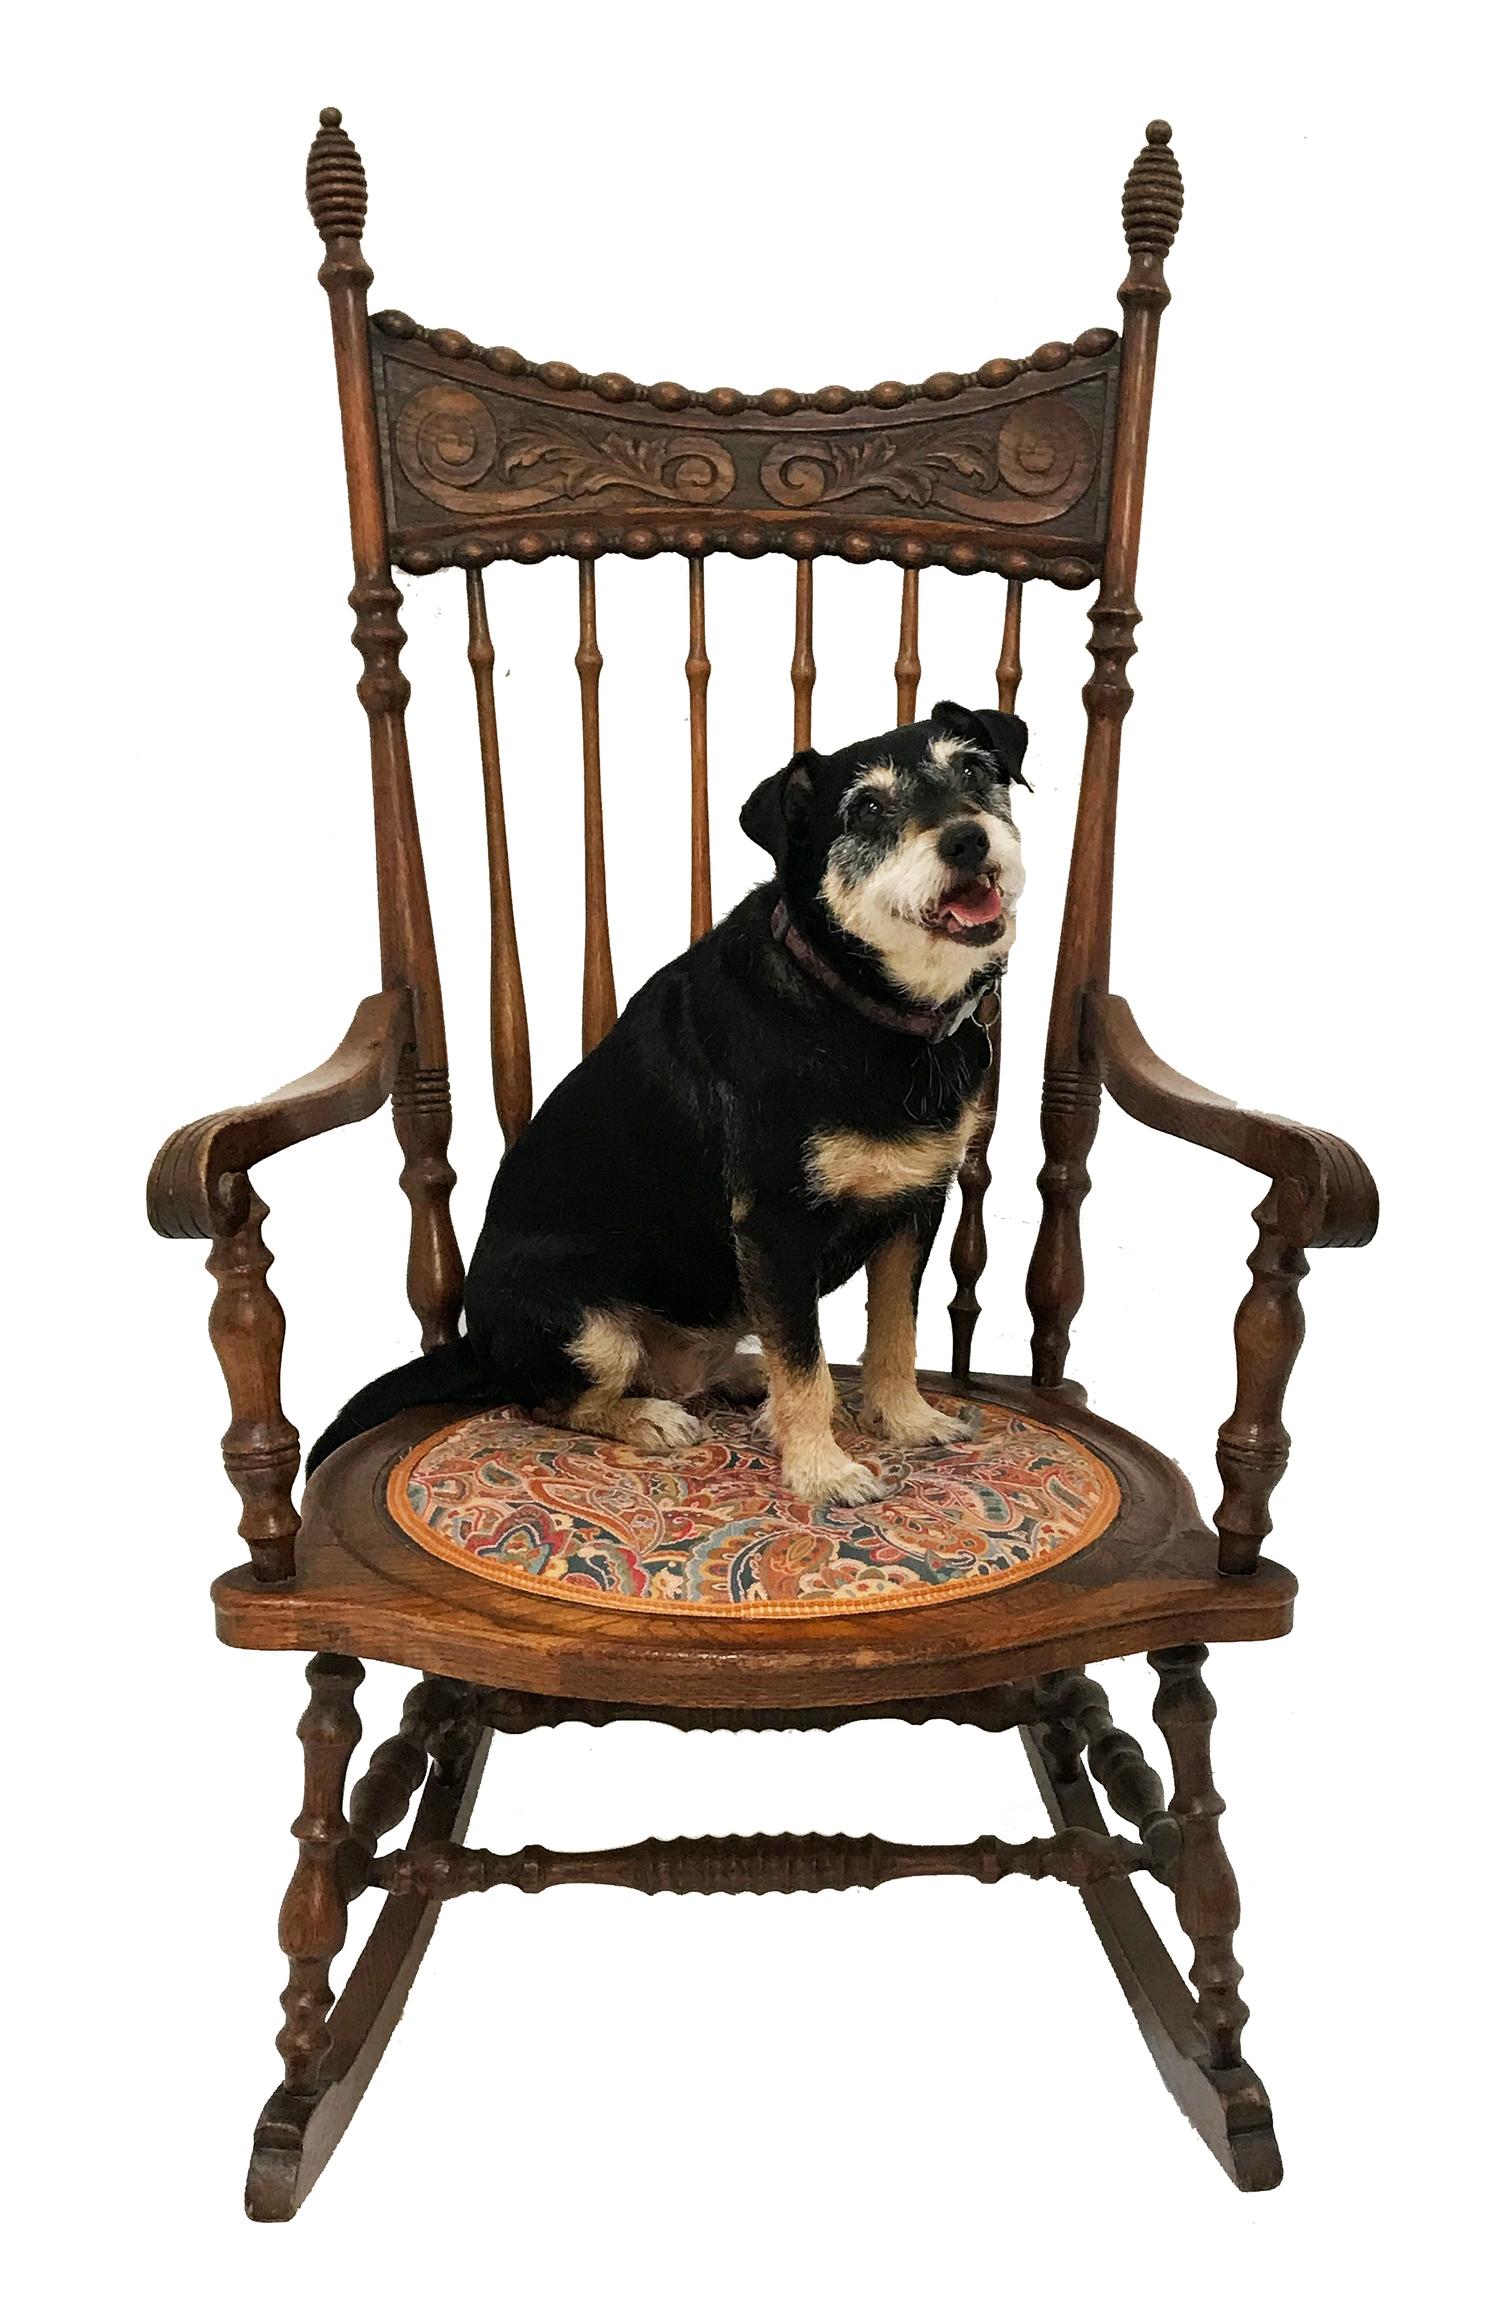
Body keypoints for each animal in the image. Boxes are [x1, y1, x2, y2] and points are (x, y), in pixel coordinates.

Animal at [310, 694, 1023, 1510]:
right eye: (867, 807)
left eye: (975, 770)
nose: (968, 840)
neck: (858, 1004)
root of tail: (472, 1344)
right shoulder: (775, 1226)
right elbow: (807, 1365)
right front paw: (822, 1471)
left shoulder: (916, 1207)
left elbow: (895, 1334)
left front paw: (905, 1420)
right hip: (587, 1330)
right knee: (547, 1400)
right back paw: (650, 1416)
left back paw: (742, 1376)